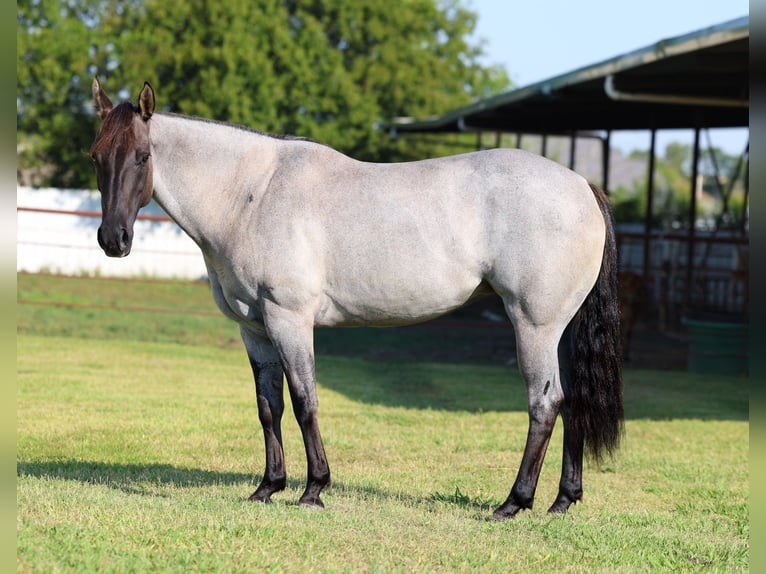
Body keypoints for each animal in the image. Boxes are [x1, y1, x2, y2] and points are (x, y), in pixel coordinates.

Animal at [90, 78, 623, 520]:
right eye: (96, 156)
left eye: (142, 156)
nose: (113, 239)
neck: (252, 195)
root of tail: (582, 185)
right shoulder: (254, 328)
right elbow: (269, 407)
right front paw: (268, 487)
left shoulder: (289, 320)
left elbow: (304, 401)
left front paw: (313, 489)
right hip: (560, 329)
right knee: (572, 402)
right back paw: (562, 500)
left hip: (534, 325)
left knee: (544, 402)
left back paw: (514, 502)